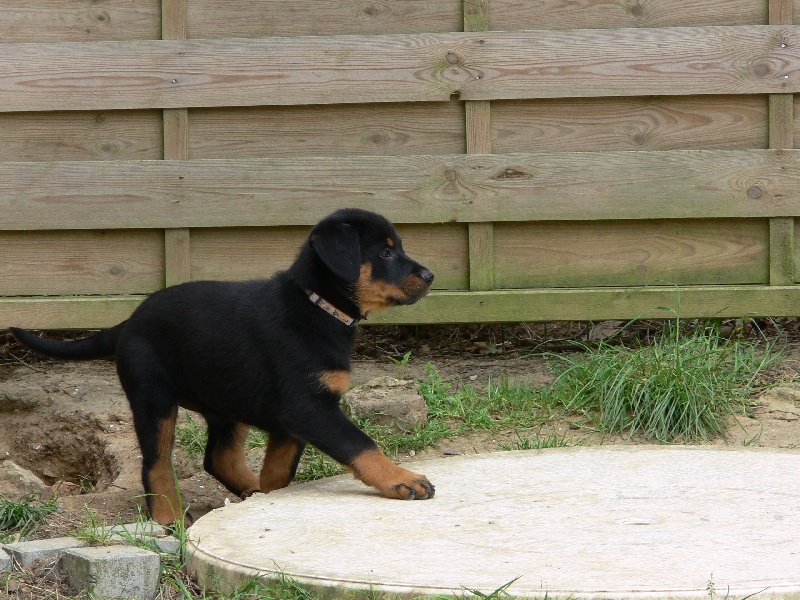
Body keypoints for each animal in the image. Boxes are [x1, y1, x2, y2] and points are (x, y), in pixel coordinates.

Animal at [11, 208, 435, 526]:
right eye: (385, 254)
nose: (430, 275)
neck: (317, 305)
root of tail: (129, 321)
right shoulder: (308, 407)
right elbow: (361, 444)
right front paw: (403, 479)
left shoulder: (292, 420)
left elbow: (279, 471)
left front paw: (270, 496)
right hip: (154, 398)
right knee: (155, 464)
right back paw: (169, 518)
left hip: (226, 402)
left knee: (218, 457)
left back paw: (250, 492)